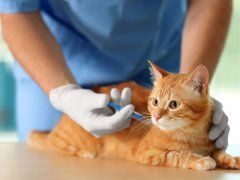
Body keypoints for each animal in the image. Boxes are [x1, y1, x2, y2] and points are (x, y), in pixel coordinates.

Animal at [27, 61, 240, 170]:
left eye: (174, 104)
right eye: (155, 102)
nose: (156, 117)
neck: (193, 134)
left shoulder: (212, 144)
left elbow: (219, 152)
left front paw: (231, 158)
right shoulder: (147, 154)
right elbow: (178, 155)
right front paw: (201, 160)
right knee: (56, 144)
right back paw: (84, 153)